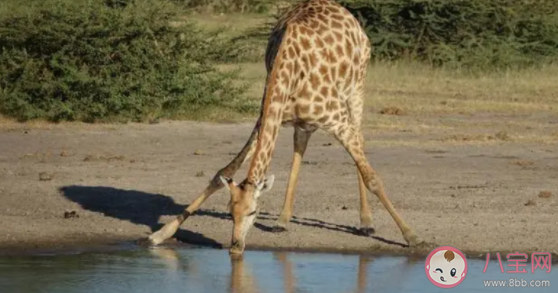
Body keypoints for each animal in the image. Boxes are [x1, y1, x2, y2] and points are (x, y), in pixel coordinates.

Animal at [149, 0, 424, 253]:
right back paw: (282, 219)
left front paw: (411, 236)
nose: (235, 247)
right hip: (304, 122)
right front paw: (161, 234)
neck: (290, 73)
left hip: (356, 89)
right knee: (300, 147)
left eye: (254, 212)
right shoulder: (268, 117)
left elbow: (372, 178)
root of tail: (345, 12)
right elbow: (222, 172)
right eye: (229, 212)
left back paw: (366, 222)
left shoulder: (338, 121)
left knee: (360, 141)